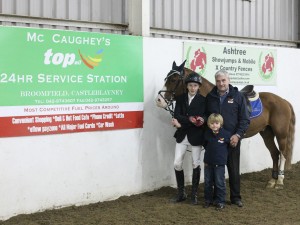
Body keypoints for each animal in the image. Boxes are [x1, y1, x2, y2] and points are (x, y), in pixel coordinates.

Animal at [157, 60, 296, 189]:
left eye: (174, 79)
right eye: (166, 78)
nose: (159, 100)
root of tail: (284, 101)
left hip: (281, 134)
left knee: (283, 154)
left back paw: (279, 181)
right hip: (267, 133)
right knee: (275, 153)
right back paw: (272, 181)